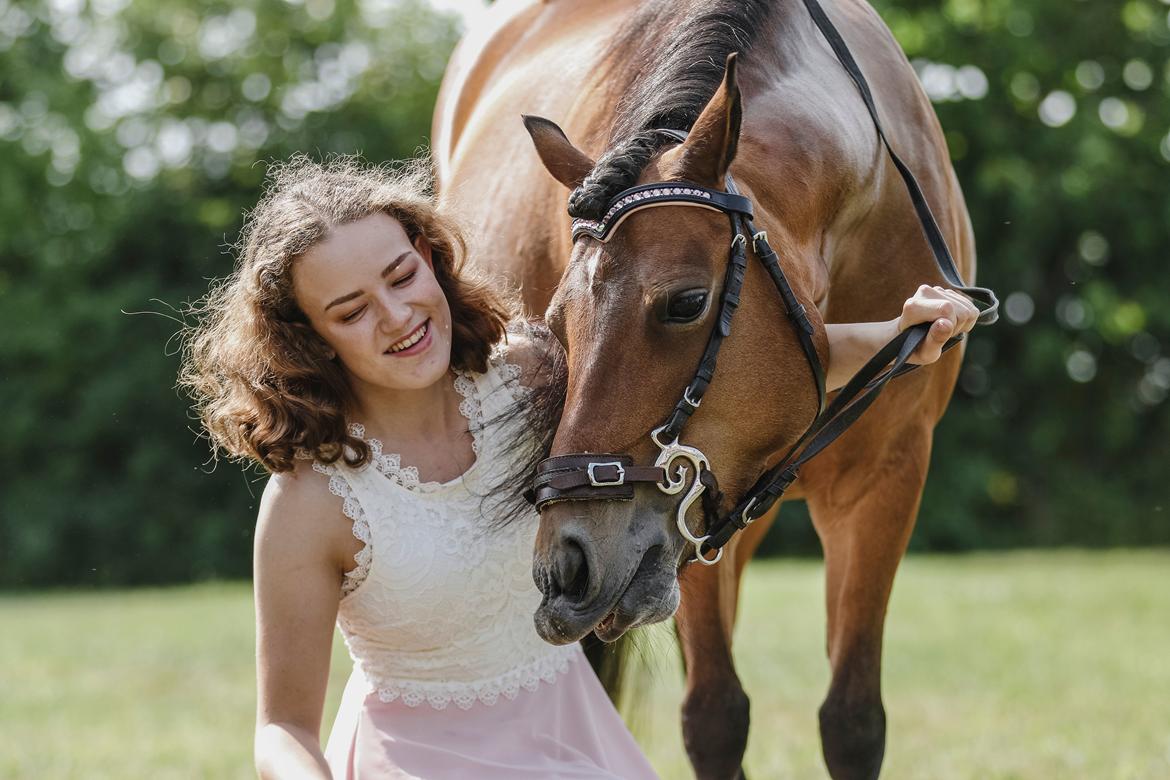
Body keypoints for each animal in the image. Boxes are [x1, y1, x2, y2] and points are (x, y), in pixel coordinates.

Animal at [435, 3, 982, 776]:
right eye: (557, 323)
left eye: (687, 303)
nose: (569, 561)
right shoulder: (685, 507)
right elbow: (716, 717)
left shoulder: (886, 477)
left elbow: (853, 721)